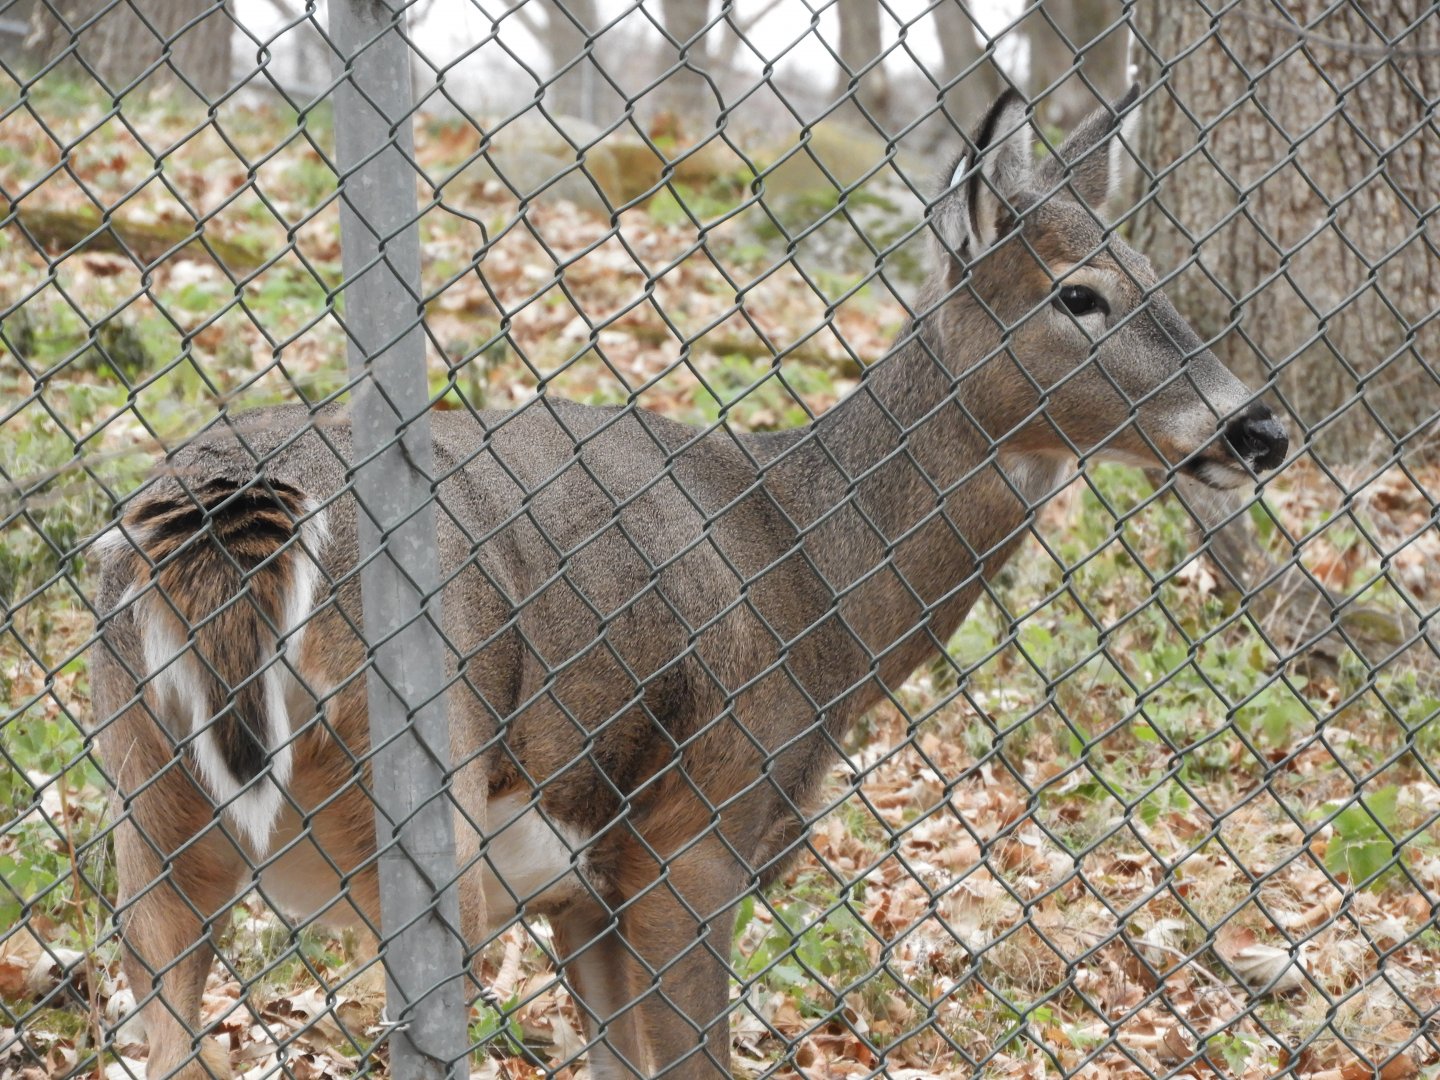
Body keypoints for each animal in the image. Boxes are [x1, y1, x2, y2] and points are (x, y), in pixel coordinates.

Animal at [90, 86, 1287, 1080]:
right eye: (1078, 294)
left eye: (1163, 282)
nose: (1259, 429)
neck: (815, 578)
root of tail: (227, 505)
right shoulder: (695, 837)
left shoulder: (584, 888)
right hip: (427, 814)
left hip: (151, 813)